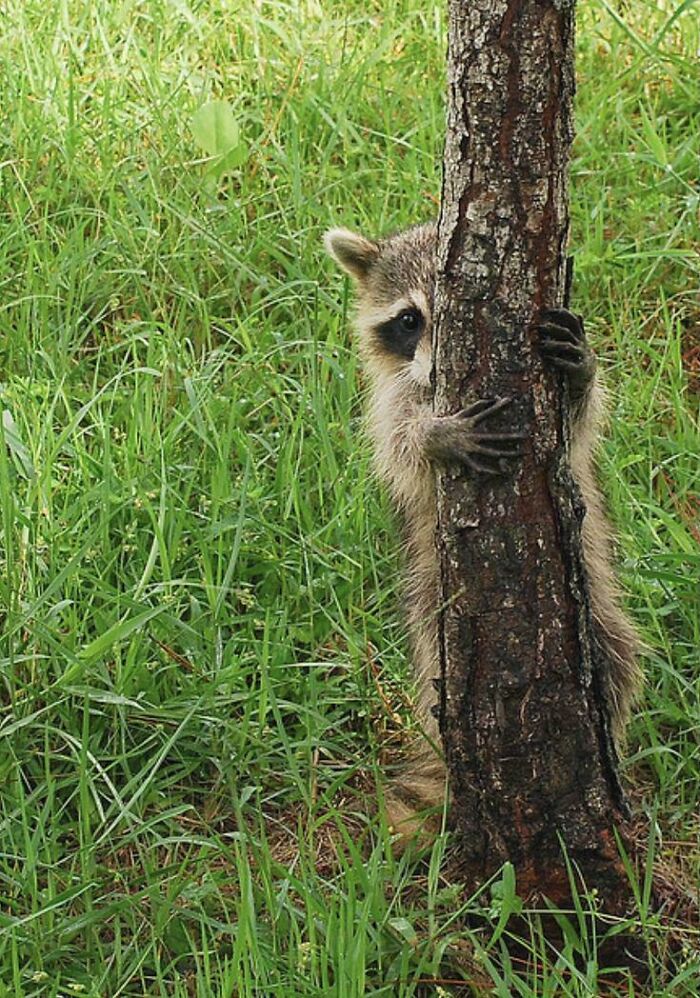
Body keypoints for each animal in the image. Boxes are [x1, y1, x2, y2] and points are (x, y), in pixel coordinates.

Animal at [324, 221, 642, 846]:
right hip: (431, 601)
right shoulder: (393, 398)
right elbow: (399, 446)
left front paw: (583, 372)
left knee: (615, 658)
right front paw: (430, 436)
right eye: (409, 320)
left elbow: (581, 425)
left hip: (594, 601)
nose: (432, 372)